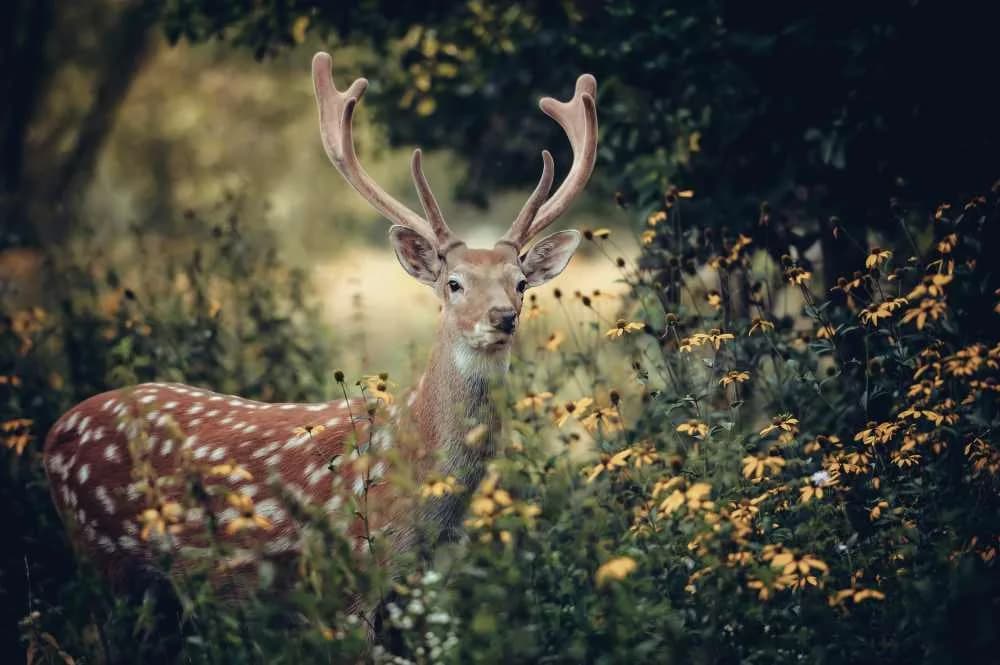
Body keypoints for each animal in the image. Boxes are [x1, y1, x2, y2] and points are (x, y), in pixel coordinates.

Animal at [43, 51, 598, 615]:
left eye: (521, 282)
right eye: (454, 283)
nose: (503, 316)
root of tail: (52, 435)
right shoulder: (351, 579)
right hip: (104, 554)